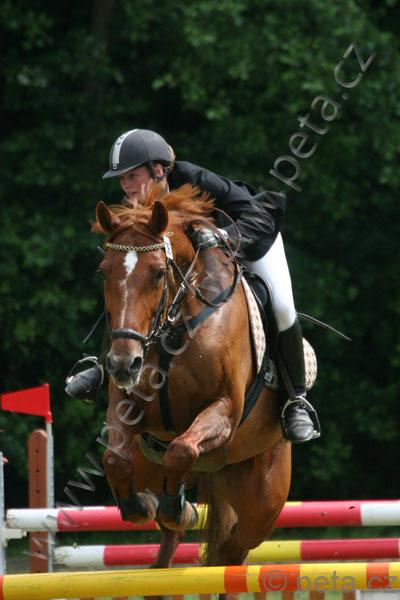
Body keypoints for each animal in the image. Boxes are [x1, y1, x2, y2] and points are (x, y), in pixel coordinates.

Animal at [94, 183, 291, 596]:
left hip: (263, 501)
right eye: (103, 273)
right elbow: (115, 458)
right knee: (170, 547)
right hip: (155, 468)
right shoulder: (128, 405)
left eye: (157, 274)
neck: (173, 323)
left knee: (232, 552)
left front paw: (175, 504)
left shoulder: (224, 410)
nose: (122, 364)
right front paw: (141, 506)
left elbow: (182, 449)